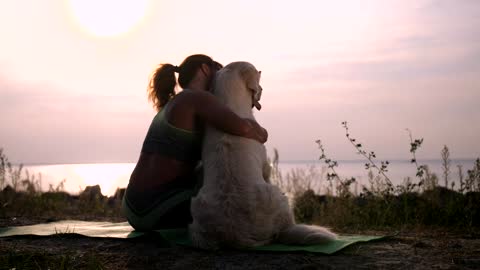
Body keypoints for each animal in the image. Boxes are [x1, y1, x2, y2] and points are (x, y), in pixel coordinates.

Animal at [189, 62, 336, 250]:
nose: (262, 88)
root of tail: (233, 235)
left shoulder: (200, 167)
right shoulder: (266, 166)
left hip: (196, 205)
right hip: (279, 197)